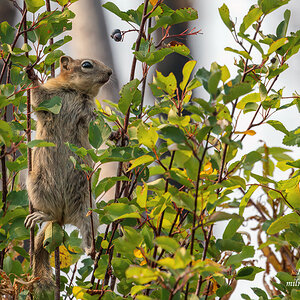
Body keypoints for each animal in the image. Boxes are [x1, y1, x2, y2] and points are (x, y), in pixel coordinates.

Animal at [24, 55, 111, 292]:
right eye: (87, 65)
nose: (110, 72)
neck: (76, 92)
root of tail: (64, 216)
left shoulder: (89, 112)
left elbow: (101, 126)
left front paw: (121, 136)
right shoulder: (50, 96)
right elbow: (38, 97)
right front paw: (32, 75)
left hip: (87, 208)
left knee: (87, 229)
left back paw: (92, 249)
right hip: (36, 184)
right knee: (51, 214)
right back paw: (41, 215)